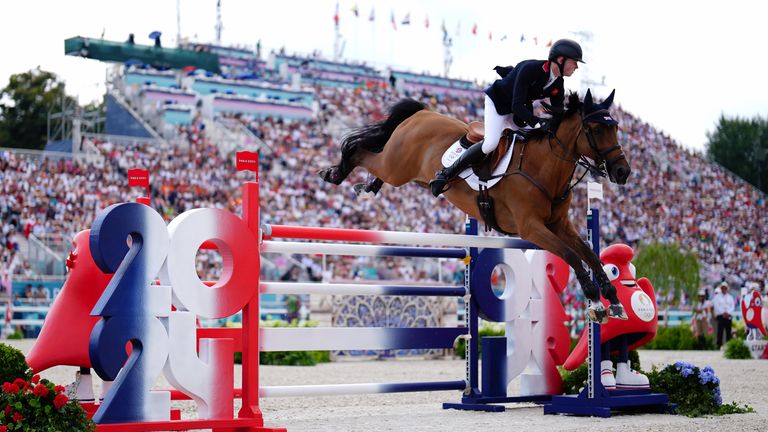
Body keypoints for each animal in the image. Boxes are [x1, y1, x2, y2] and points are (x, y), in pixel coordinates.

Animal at [318, 90, 632, 320]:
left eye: (615, 127)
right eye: (595, 129)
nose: (622, 172)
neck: (544, 167)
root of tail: (422, 112)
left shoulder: (559, 225)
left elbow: (590, 255)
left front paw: (613, 298)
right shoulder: (531, 228)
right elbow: (571, 255)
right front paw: (595, 301)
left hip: (405, 172)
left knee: (375, 163)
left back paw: (369, 187)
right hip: (397, 167)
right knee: (359, 151)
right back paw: (334, 174)